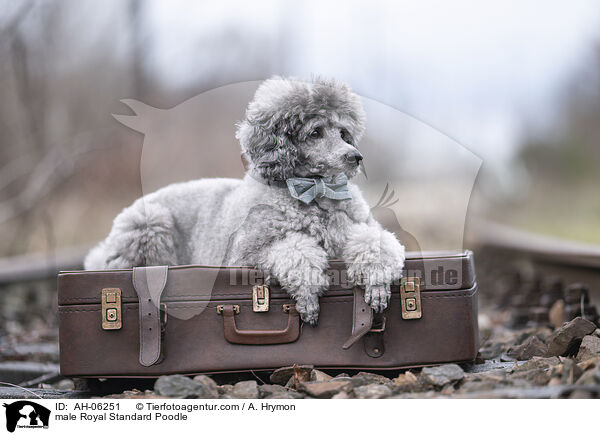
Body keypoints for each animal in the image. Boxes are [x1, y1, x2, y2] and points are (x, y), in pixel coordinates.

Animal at [84, 76, 406, 326]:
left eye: (343, 133)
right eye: (316, 132)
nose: (356, 156)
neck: (314, 191)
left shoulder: (359, 228)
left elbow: (375, 241)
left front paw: (377, 281)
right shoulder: (243, 256)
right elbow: (293, 250)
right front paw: (308, 294)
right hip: (149, 223)